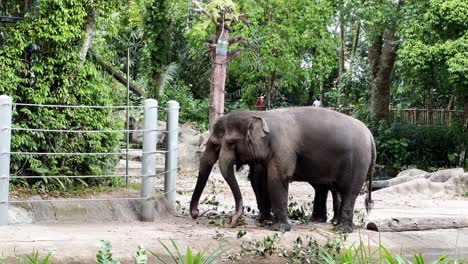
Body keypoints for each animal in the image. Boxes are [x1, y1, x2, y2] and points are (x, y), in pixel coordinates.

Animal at [188, 106, 374, 232]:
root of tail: (370, 135)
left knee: (349, 191)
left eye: (231, 143)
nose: (196, 214)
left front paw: (277, 228)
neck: (260, 115)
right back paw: (330, 223)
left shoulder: (282, 148)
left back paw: (341, 229)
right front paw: (264, 220)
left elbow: (276, 178)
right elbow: (260, 180)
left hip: (358, 162)